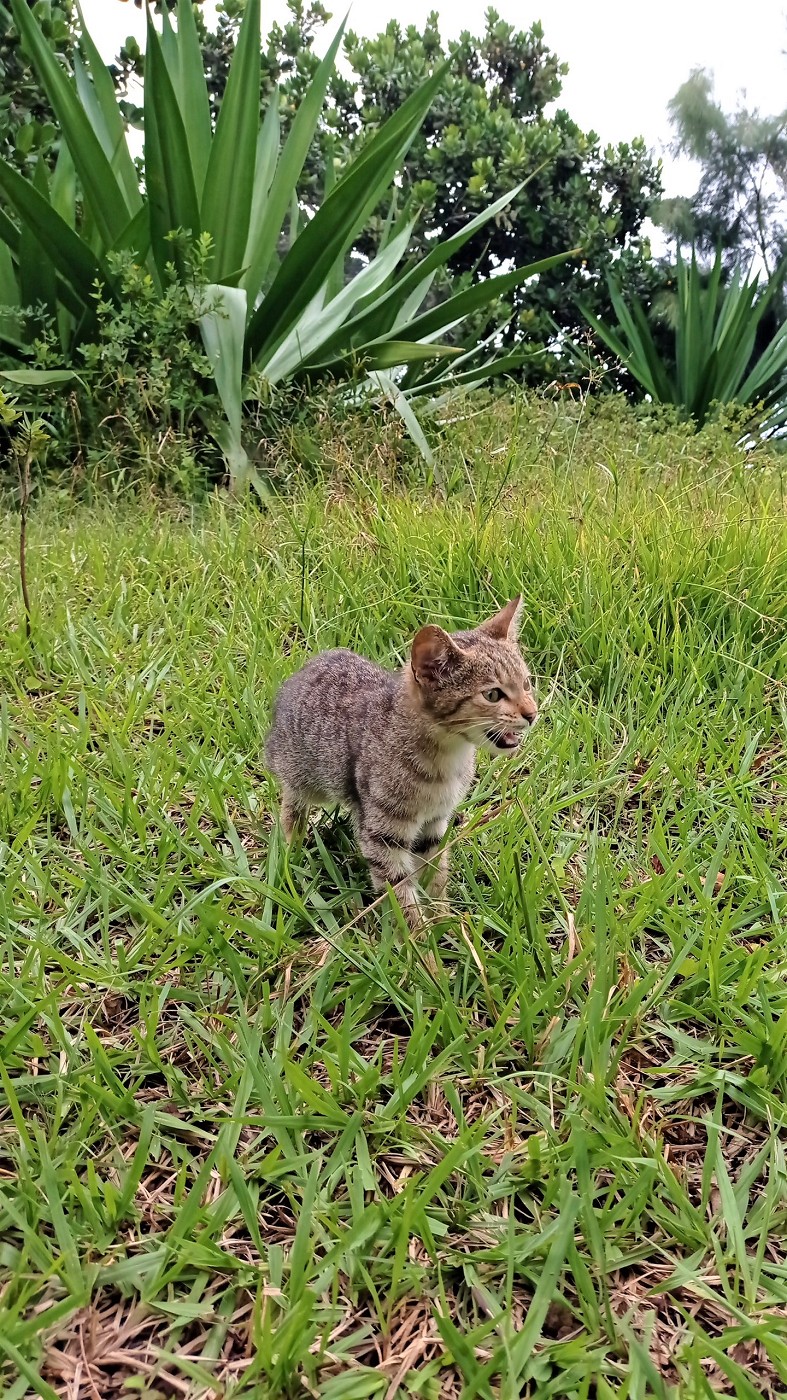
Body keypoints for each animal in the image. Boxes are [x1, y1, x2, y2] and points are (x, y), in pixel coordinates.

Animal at [266, 596, 534, 924]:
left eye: (527, 683)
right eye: (493, 694)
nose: (532, 714)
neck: (448, 760)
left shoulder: (433, 824)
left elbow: (436, 877)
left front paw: (444, 921)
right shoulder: (383, 835)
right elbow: (400, 897)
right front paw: (420, 935)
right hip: (302, 777)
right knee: (292, 805)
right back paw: (290, 847)